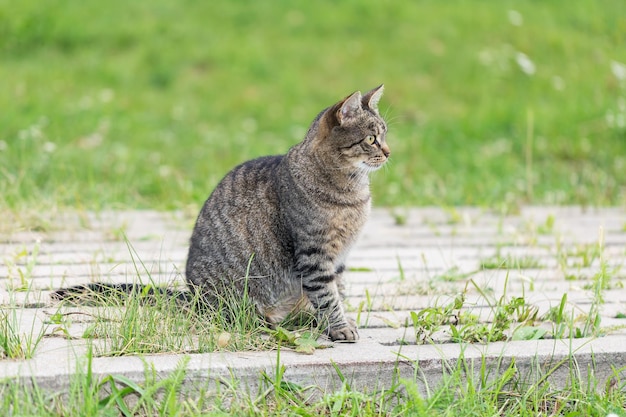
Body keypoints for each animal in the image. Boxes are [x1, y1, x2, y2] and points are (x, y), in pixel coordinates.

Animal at [186, 85, 390, 342]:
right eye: (372, 139)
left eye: (385, 135)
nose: (389, 152)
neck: (353, 192)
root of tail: (190, 297)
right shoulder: (314, 254)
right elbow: (327, 296)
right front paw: (339, 327)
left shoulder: (339, 258)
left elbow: (338, 290)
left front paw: (337, 322)